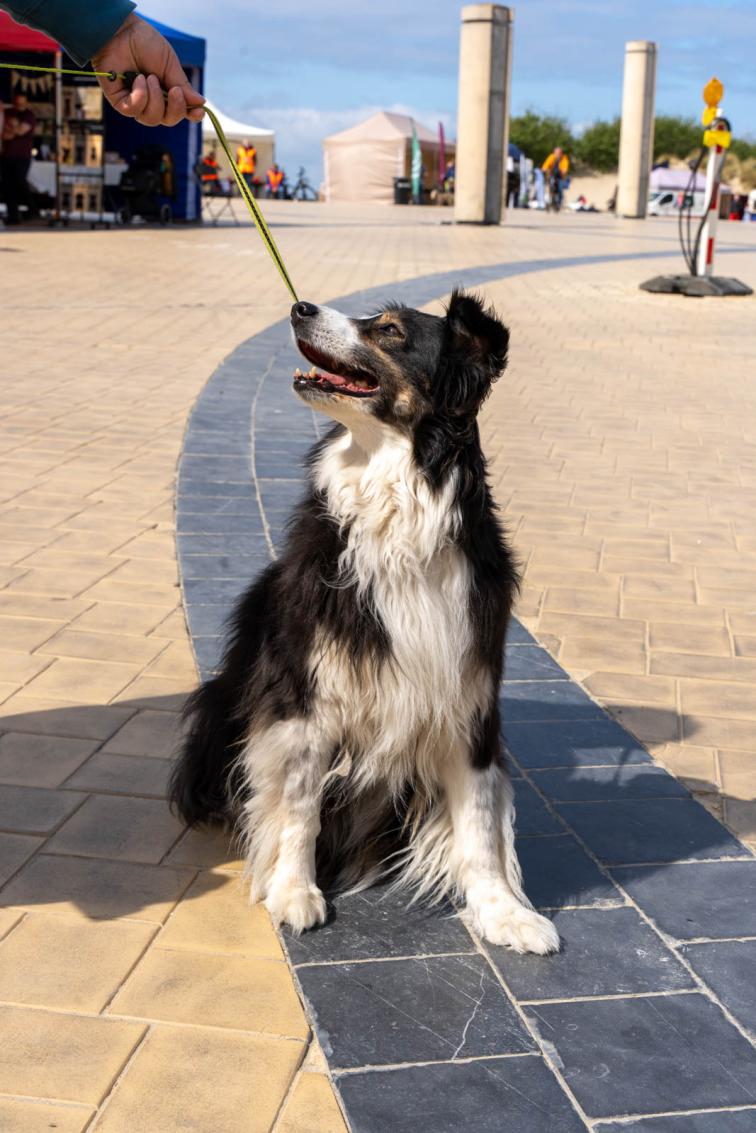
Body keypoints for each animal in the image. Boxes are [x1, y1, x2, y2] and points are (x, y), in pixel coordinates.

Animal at [170, 291, 559, 955]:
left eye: (392, 332)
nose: (300, 307)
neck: (398, 507)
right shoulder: (306, 696)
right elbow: (298, 803)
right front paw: (294, 890)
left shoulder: (469, 693)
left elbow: (480, 821)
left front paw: (504, 912)